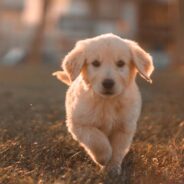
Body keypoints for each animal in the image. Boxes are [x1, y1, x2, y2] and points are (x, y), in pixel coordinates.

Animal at [52, 33, 154, 175]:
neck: (107, 102)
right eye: (95, 63)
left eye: (120, 63)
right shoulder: (79, 123)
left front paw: (113, 169)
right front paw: (104, 158)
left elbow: (117, 150)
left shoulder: (124, 127)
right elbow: (96, 139)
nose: (108, 83)